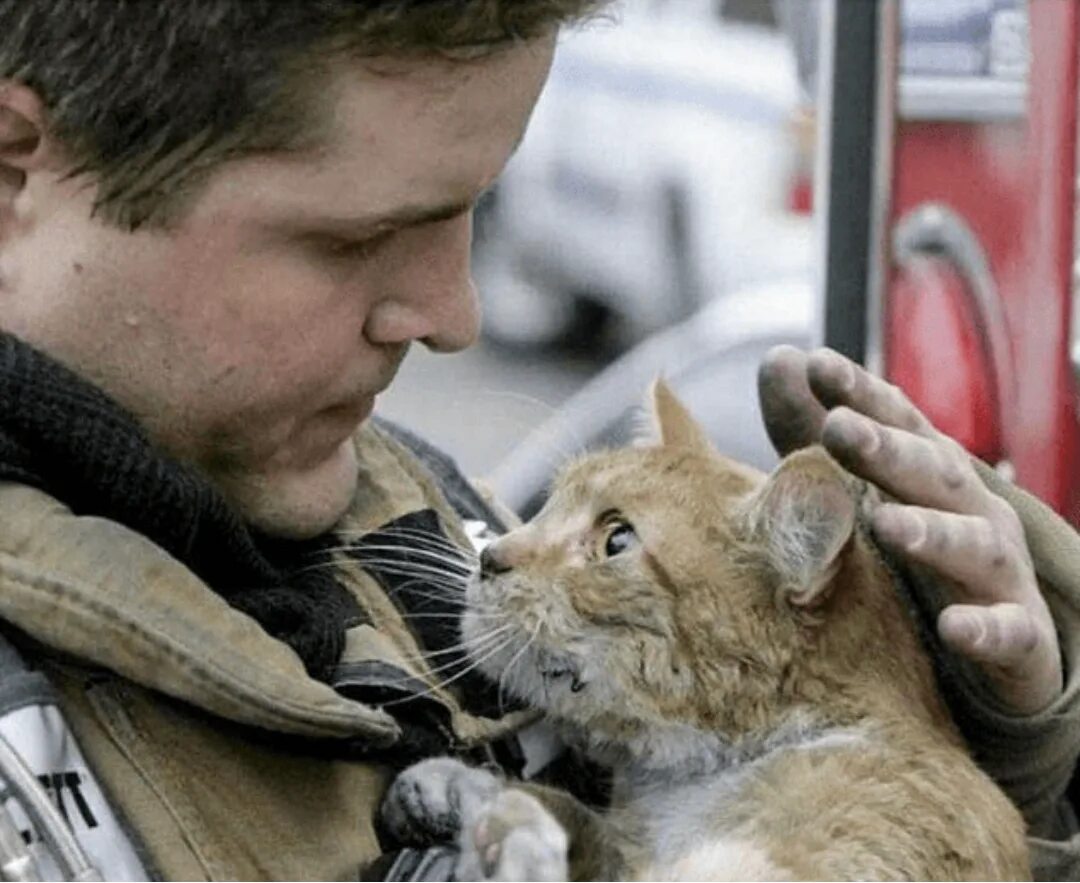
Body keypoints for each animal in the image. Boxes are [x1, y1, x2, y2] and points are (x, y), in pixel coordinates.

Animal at [382, 382, 1028, 876]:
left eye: (617, 539)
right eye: (551, 503)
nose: (491, 557)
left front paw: (509, 828)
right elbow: (584, 827)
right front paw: (466, 791)